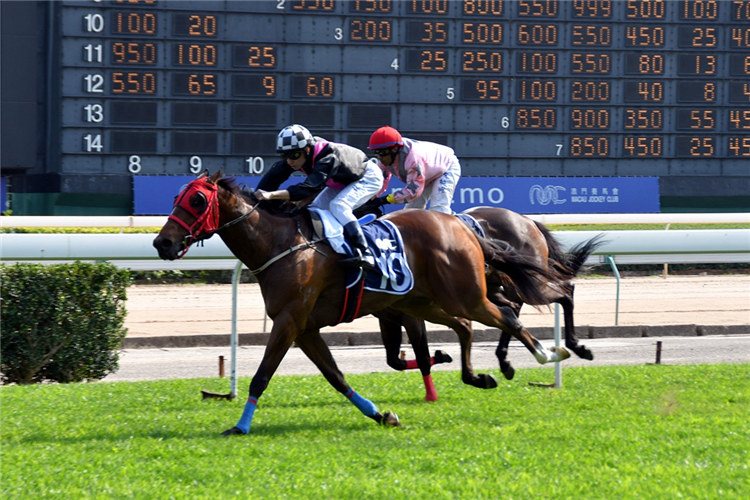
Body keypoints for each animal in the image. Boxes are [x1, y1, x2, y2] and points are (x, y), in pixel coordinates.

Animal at [156, 171, 572, 434]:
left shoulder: (289, 321)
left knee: (508, 314)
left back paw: (549, 353)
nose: (162, 242)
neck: (281, 245)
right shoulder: (305, 328)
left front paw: (240, 427)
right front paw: (382, 415)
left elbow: (263, 375)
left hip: (464, 294)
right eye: (176, 197)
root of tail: (460, 224)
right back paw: (479, 375)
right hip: (425, 301)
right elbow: (336, 376)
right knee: (470, 325)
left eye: (197, 199)